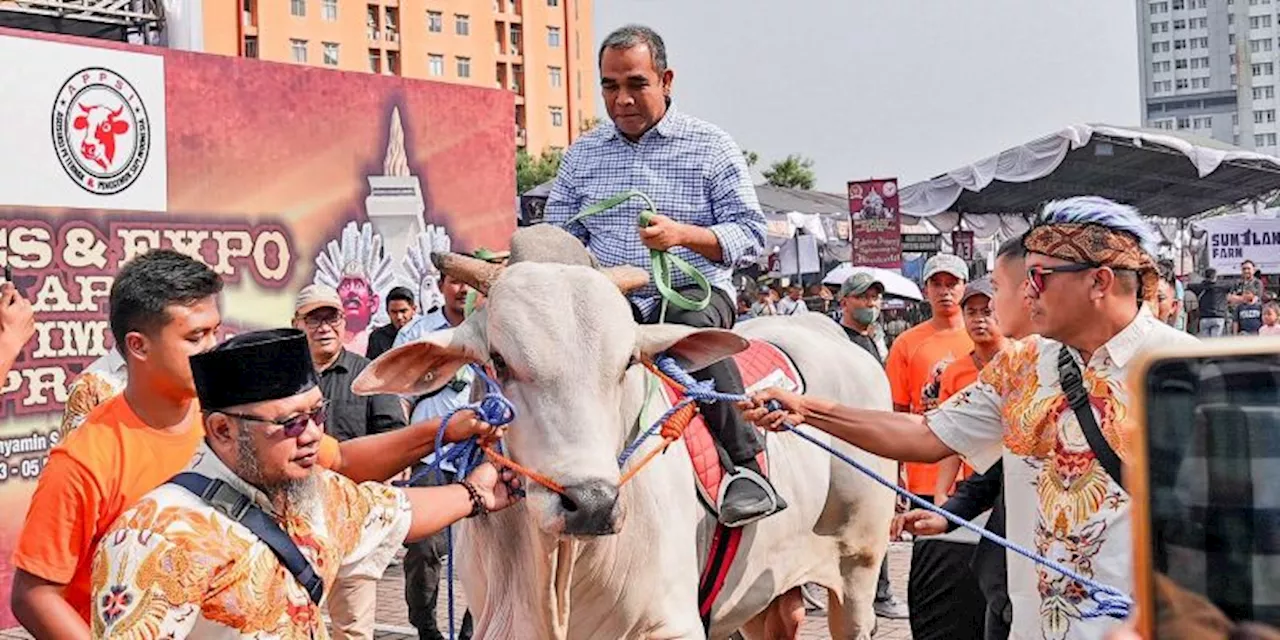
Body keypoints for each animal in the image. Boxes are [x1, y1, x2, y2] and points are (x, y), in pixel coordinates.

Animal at [355, 230, 896, 640]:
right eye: (499, 362)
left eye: (628, 363)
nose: (591, 503)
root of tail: (831, 332)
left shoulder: (674, 624)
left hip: (858, 568)